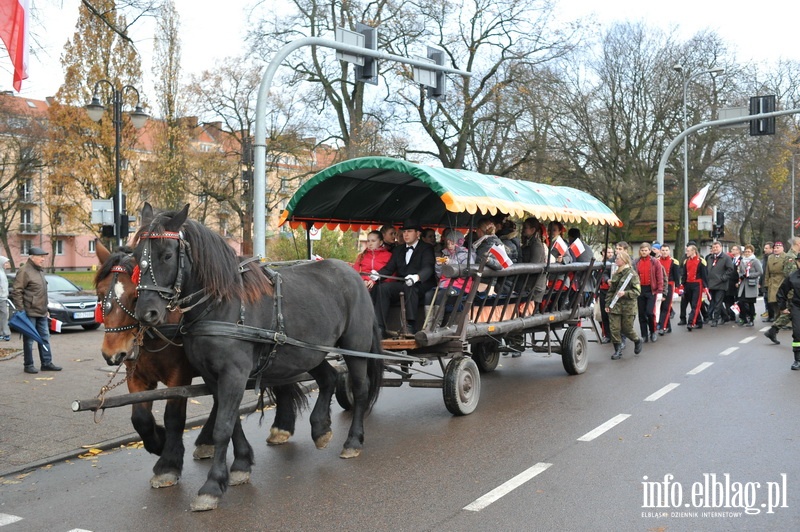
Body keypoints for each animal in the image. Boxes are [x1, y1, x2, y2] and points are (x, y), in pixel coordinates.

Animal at [94, 243, 306, 488]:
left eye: (134, 296)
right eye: (100, 293)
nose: (112, 354)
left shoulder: (179, 376)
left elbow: (174, 418)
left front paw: (168, 463)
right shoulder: (136, 376)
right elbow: (140, 419)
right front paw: (158, 442)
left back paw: (282, 427)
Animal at [134, 204, 384, 512]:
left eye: (167, 255)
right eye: (136, 256)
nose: (146, 313)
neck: (222, 303)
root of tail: (353, 273)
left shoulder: (234, 374)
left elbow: (223, 426)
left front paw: (211, 486)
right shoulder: (213, 376)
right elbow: (232, 422)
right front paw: (240, 466)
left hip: (354, 348)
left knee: (359, 390)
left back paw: (353, 441)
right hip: (306, 351)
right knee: (329, 377)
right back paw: (320, 429)